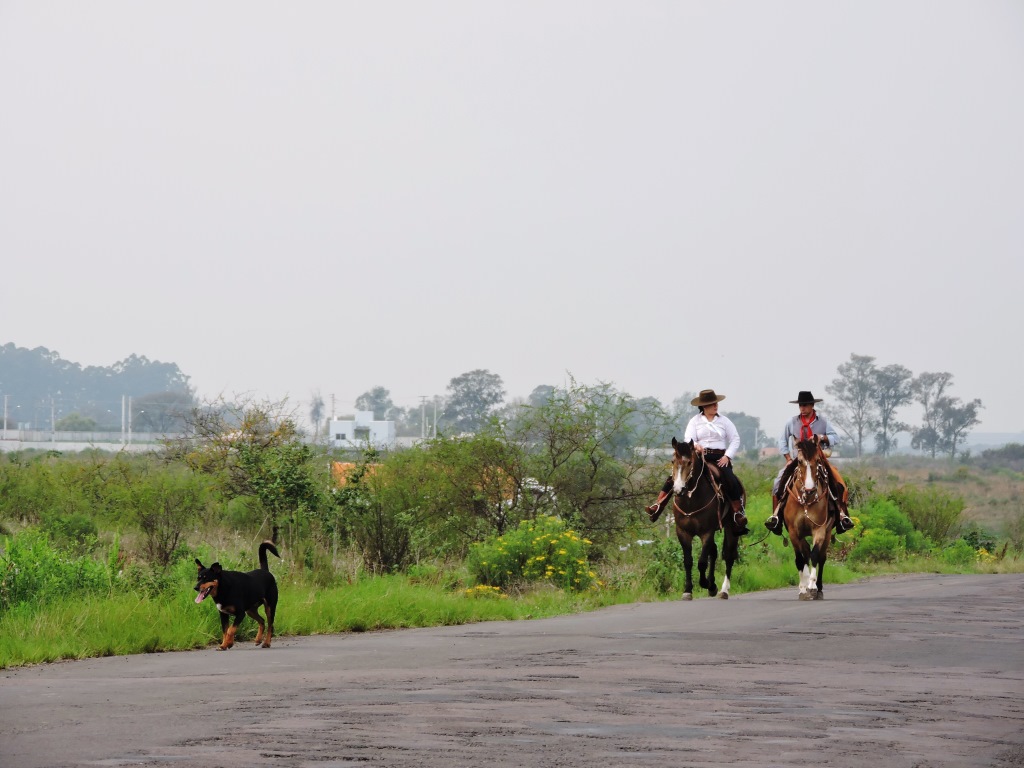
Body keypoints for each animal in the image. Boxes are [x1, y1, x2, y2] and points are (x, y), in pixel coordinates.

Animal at [663, 438, 737, 602]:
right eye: (673, 461)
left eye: (690, 462)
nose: (679, 489)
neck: (692, 500)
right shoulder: (682, 532)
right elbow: (688, 561)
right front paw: (688, 590)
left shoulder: (707, 532)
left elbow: (702, 562)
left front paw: (705, 583)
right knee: (714, 552)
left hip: (731, 526)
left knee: (729, 556)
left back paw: (723, 590)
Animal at [778, 438, 835, 602]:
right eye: (800, 461)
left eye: (818, 460)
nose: (810, 490)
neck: (806, 501)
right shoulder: (793, 531)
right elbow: (800, 559)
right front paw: (803, 589)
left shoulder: (819, 529)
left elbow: (815, 556)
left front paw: (812, 587)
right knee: (805, 554)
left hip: (828, 533)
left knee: (821, 557)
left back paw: (819, 589)